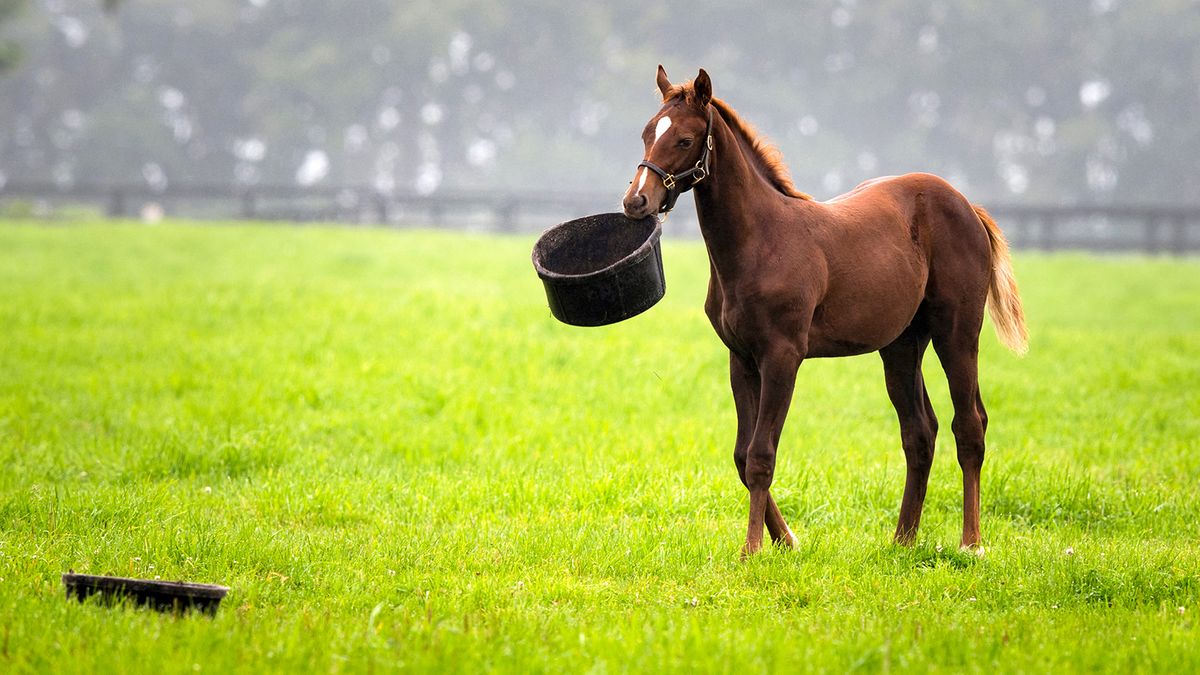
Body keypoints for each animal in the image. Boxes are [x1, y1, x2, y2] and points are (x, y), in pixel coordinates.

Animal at [622, 66, 1027, 557]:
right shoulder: (741, 359)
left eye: (683, 139)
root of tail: (966, 205)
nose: (636, 201)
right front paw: (786, 540)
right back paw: (903, 540)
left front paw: (753, 549)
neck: (760, 240)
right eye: (647, 133)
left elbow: (761, 455)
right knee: (920, 431)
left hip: (958, 333)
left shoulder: (782, 357)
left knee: (969, 426)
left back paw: (971, 543)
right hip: (901, 345)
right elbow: (741, 455)